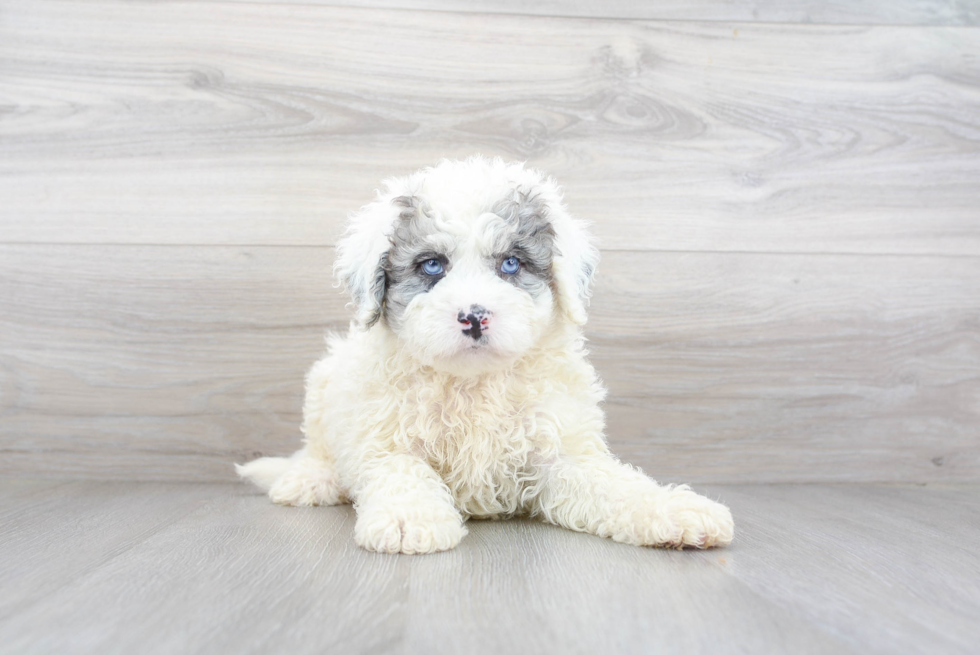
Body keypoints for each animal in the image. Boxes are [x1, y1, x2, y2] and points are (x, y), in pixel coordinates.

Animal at [237, 158, 732, 552]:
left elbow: (614, 483)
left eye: (511, 263)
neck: (473, 383)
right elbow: (401, 469)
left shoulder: (560, 450)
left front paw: (673, 510)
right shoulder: (382, 435)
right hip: (324, 382)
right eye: (431, 265)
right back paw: (309, 479)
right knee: (317, 446)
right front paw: (409, 519)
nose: (474, 317)